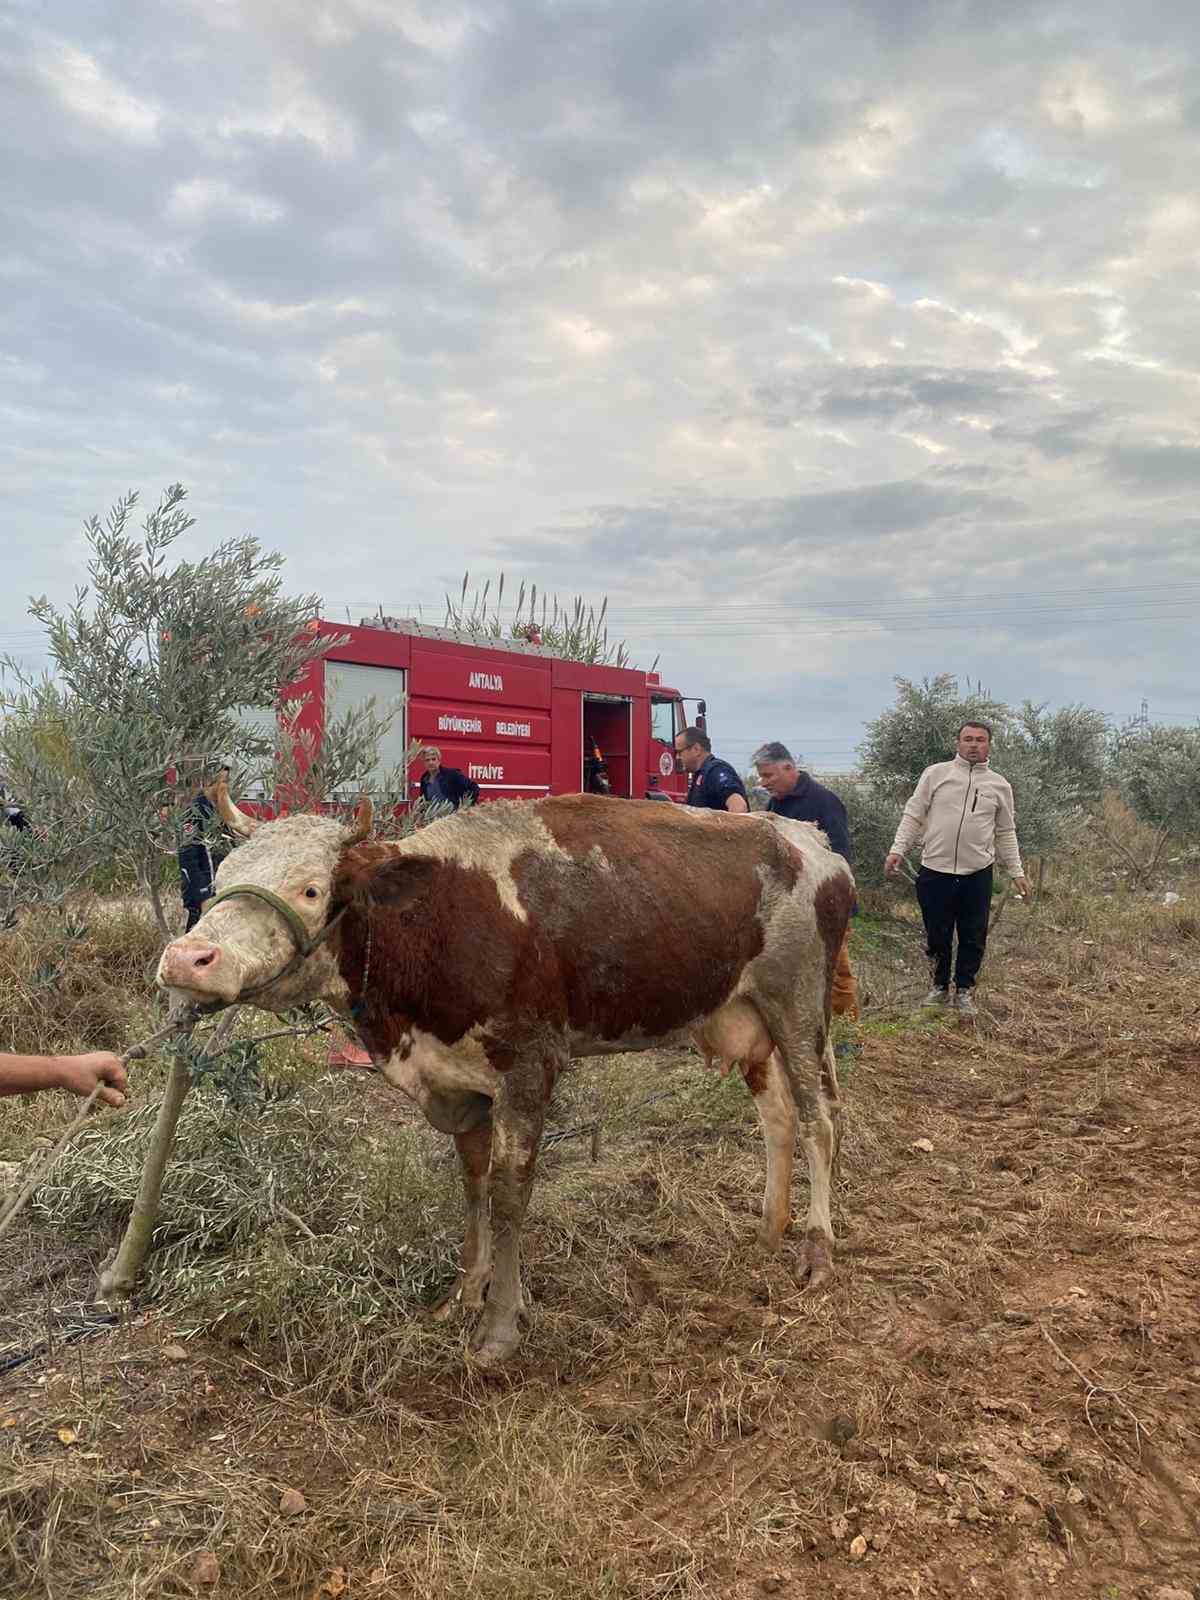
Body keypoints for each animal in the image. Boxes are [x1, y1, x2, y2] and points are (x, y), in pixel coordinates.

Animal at [157, 786, 855, 1365]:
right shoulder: (456, 1083)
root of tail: (811, 840)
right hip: (744, 1018)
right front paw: (465, 1293)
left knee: (819, 1117)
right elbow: (473, 1185)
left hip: (799, 1008)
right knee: (778, 1118)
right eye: (221, 878)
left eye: (309, 889)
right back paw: (769, 1231)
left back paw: (818, 1253)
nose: (188, 959)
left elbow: (510, 1193)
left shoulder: (529, 1067)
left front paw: (498, 1326)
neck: (435, 921)